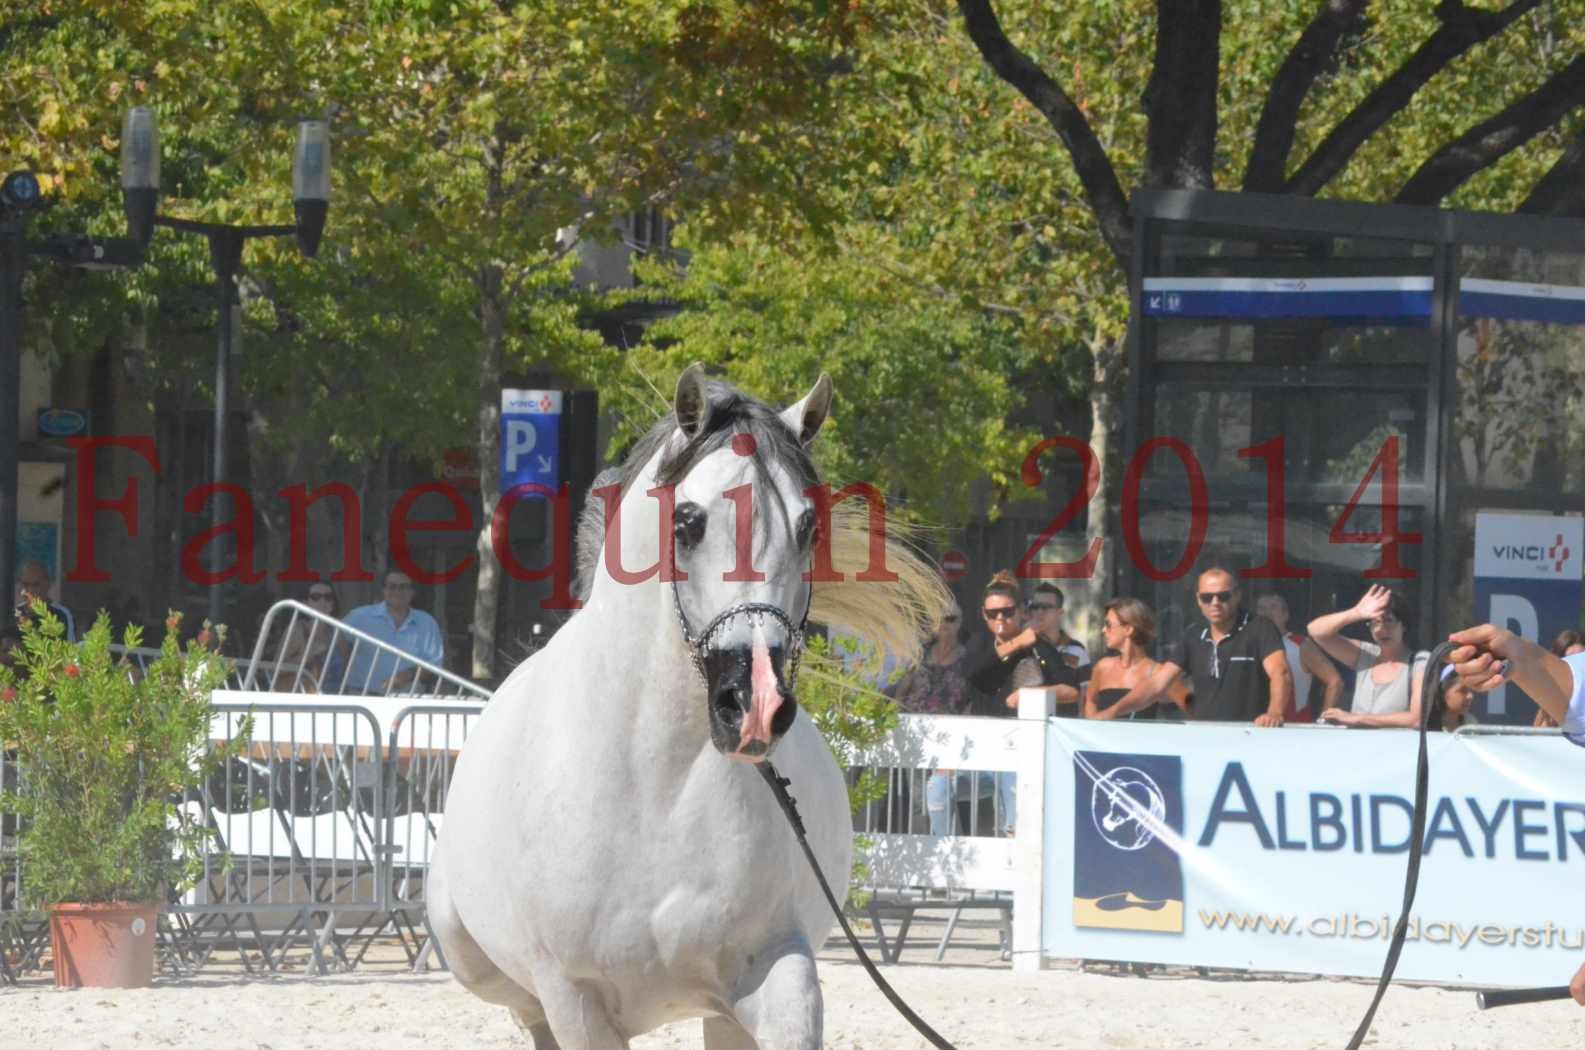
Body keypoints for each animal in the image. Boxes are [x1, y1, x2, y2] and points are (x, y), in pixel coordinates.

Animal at [427, 366, 944, 1046]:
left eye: (810, 527)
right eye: (689, 522)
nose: (755, 705)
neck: (655, 785)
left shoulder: (774, 968)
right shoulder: (576, 998)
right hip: (476, 959)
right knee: (521, 1006)